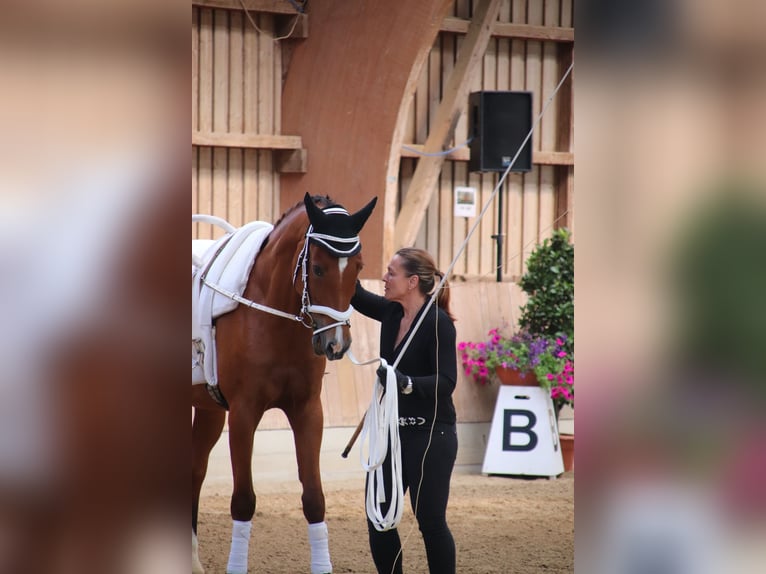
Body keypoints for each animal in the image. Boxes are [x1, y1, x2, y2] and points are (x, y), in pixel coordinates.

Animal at [192, 193, 377, 574]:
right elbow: (243, 500)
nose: (337, 345)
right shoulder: (244, 414)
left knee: (195, 469)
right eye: (317, 268)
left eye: (358, 267)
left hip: (208, 410)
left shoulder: (307, 411)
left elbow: (314, 499)